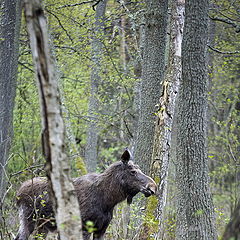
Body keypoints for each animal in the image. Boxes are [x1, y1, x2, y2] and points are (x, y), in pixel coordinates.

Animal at [15, 149, 158, 239]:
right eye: (133, 171)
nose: (153, 187)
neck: (108, 200)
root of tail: (18, 193)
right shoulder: (84, 227)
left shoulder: (101, 229)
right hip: (28, 220)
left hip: (42, 226)